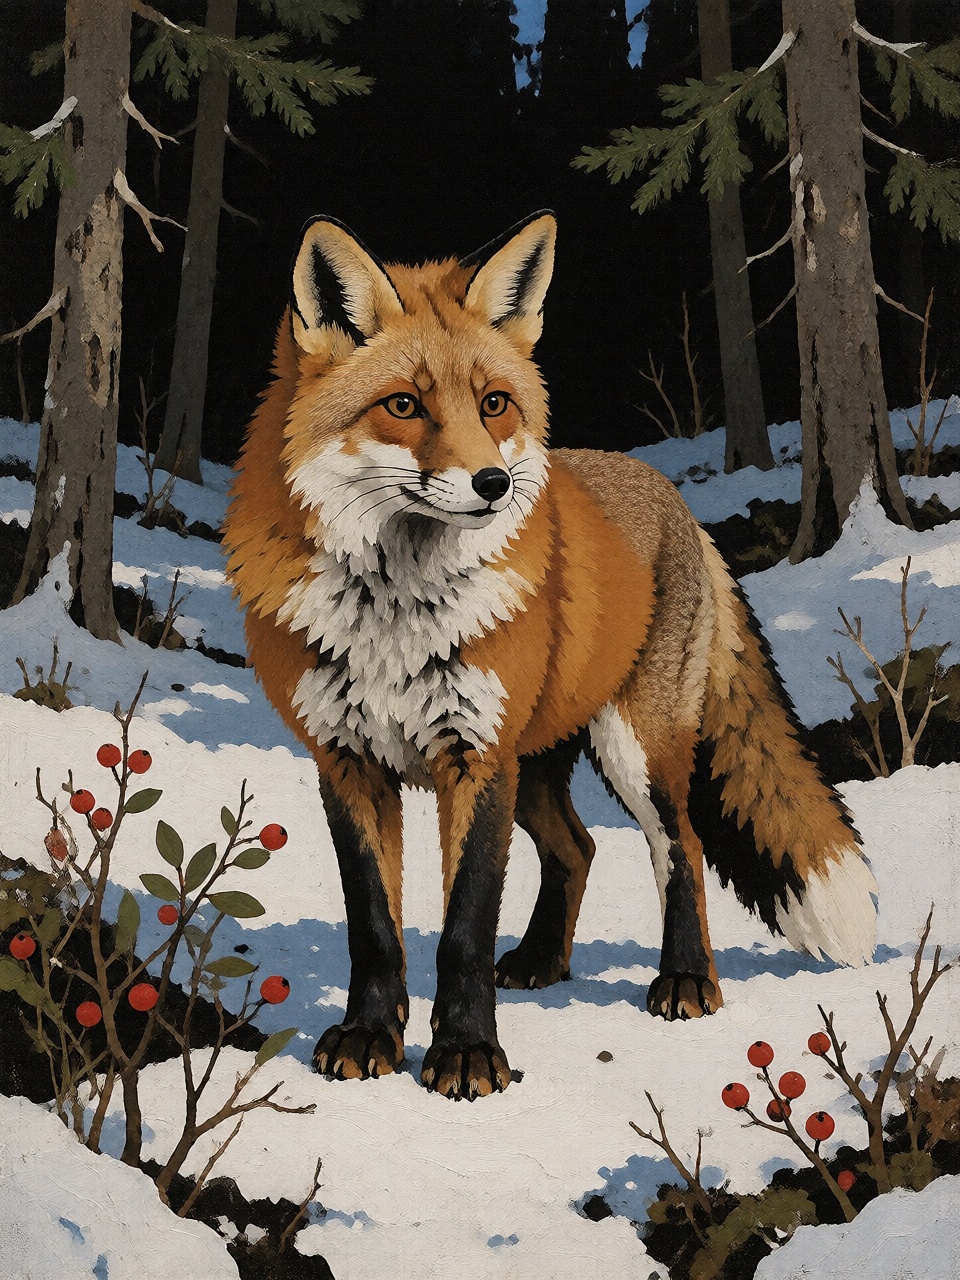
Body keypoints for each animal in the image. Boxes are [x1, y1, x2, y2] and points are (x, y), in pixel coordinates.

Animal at [222, 211, 878, 1101]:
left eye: (494, 404)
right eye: (404, 405)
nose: (493, 484)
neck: (397, 616)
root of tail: (668, 492)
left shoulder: (475, 757)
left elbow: (464, 925)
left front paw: (467, 1055)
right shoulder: (347, 761)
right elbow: (376, 927)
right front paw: (369, 1038)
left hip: (631, 752)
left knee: (680, 847)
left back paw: (686, 981)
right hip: (534, 770)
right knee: (579, 847)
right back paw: (542, 961)